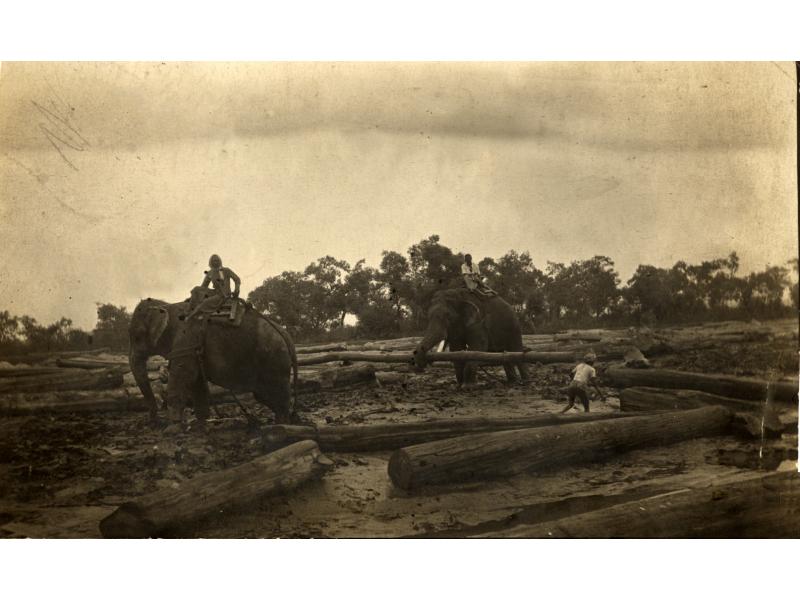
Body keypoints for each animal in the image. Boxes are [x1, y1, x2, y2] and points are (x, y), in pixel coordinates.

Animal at [130, 296, 298, 426]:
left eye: (137, 336)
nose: (153, 422)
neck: (168, 305)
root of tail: (286, 336)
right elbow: (197, 382)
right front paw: (200, 425)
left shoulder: (186, 340)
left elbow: (183, 375)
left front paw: (173, 427)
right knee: (265, 396)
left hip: (274, 360)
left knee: (278, 395)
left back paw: (281, 425)